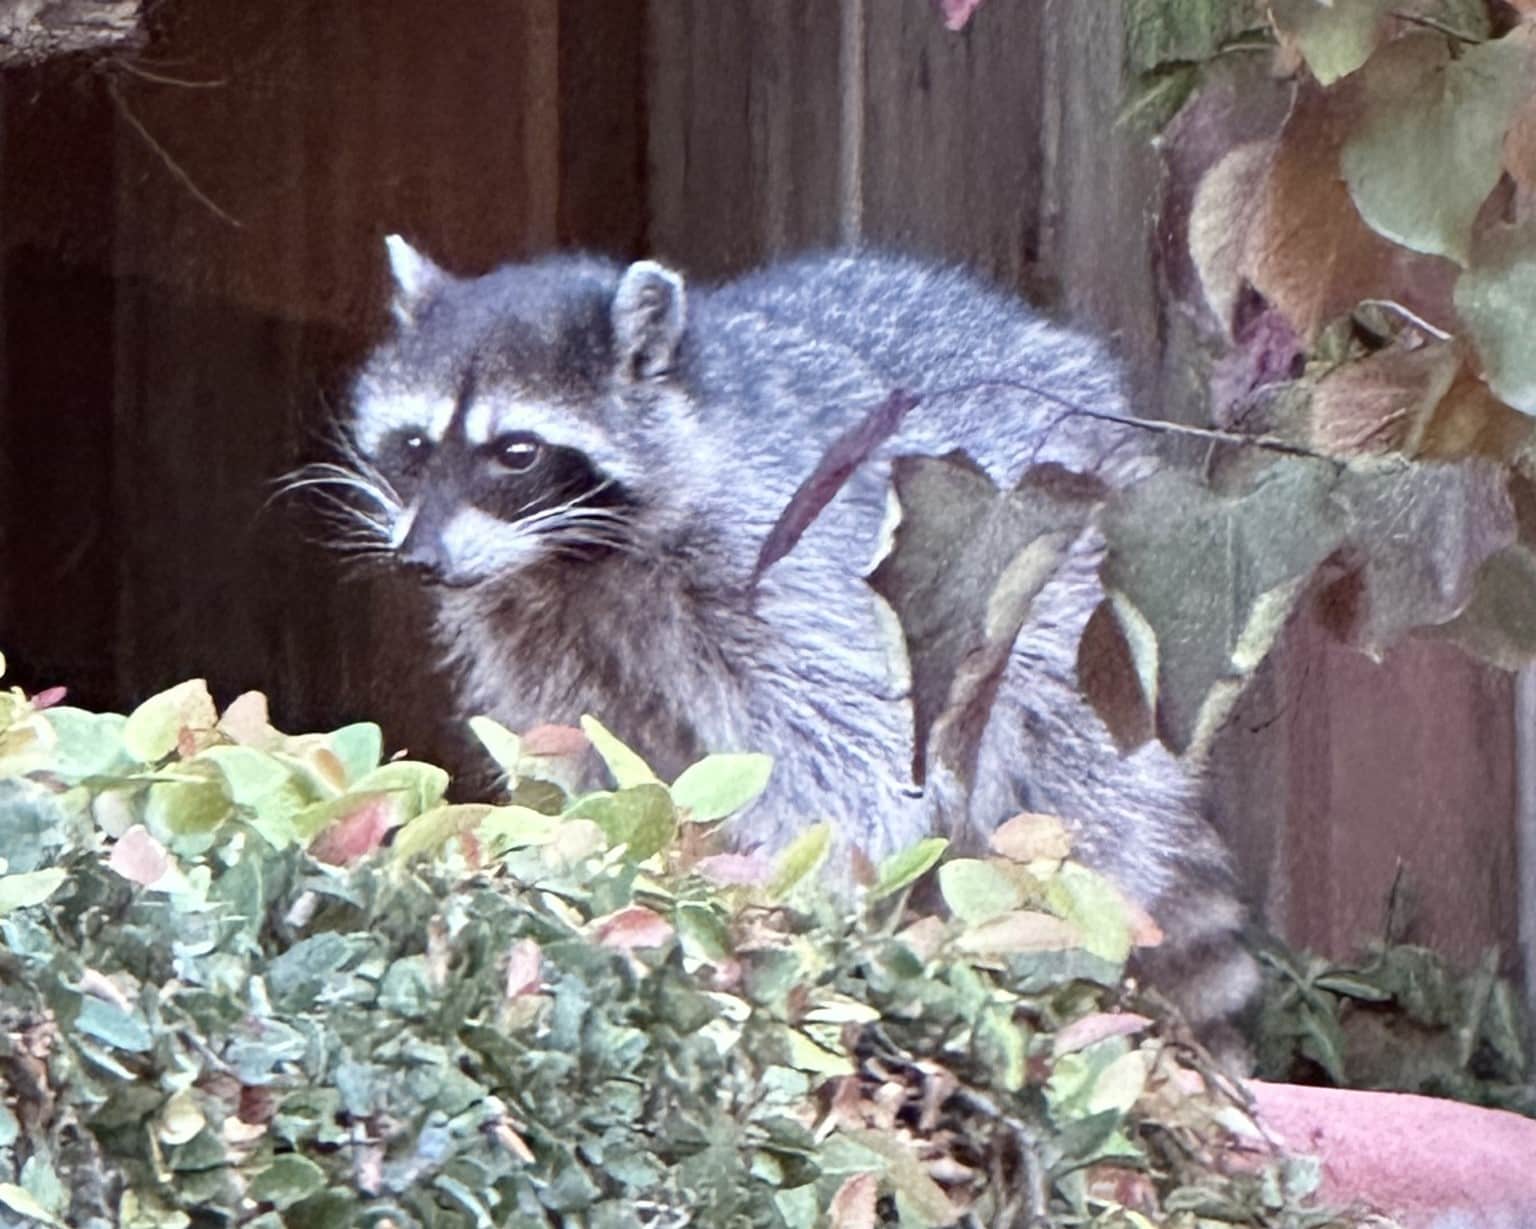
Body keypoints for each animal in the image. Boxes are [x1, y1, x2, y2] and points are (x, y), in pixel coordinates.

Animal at [331, 238, 1259, 1040]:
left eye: (515, 452)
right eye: (413, 445)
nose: (419, 556)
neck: (577, 558)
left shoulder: (797, 564)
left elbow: (847, 758)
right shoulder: (538, 627)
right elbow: (575, 748)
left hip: (1078, 618)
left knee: (1082, 784)